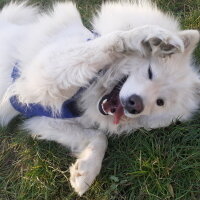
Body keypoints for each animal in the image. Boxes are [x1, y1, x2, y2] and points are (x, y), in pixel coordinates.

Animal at [0, 0, 199, 196]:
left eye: (160, 102)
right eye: (150, 72)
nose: (135, 104)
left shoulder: (43, 119)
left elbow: (99, 136)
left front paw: (86, 170)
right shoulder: (42, 74)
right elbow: (114, 39)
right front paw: (147, 38)